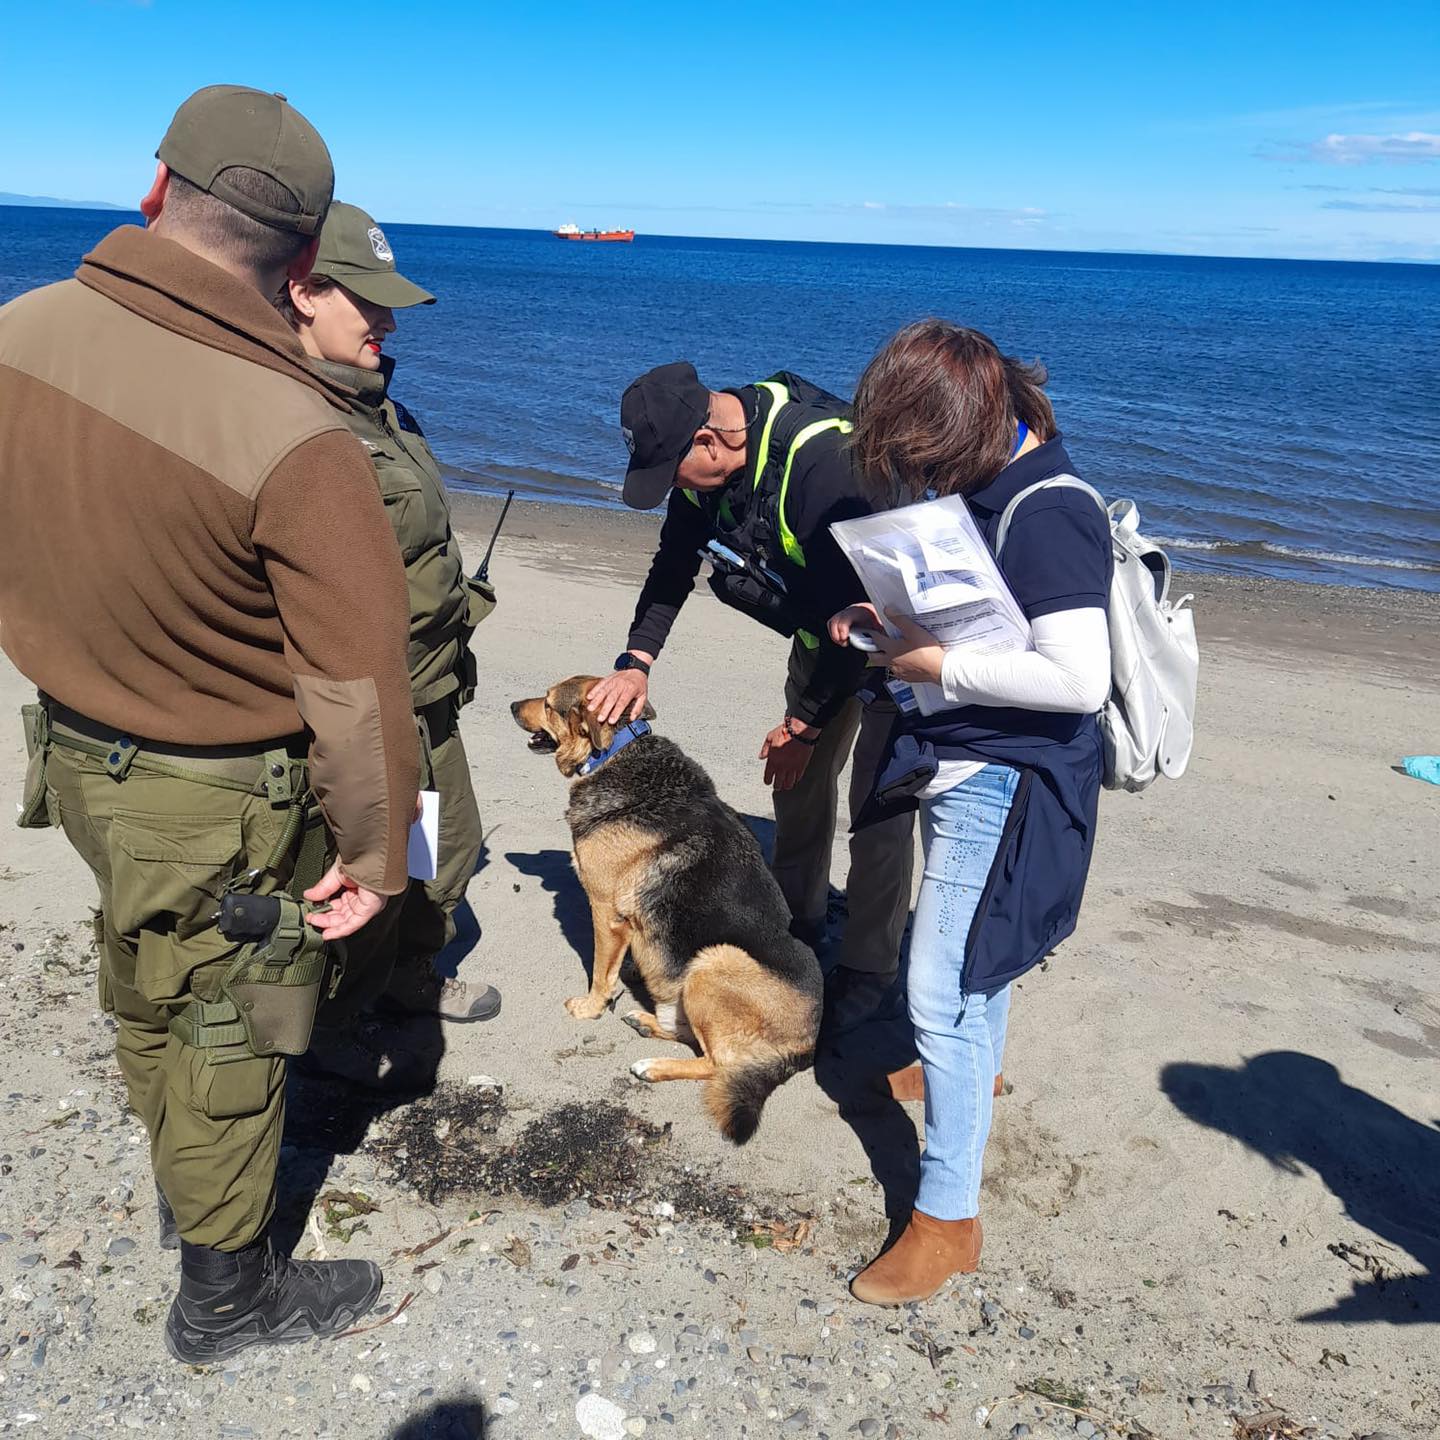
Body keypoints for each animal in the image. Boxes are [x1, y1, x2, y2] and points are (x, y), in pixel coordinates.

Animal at [512, 676, 817, 1146]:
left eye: (547, 703)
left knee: (717, 1063)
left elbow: (600, 971)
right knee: (687, 1032)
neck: (615, 752)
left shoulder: (605, 911)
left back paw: (652, 1066)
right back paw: (645, 1021)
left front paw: (591, 1006)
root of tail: (808, 1042)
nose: (511, 706)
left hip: (714, 962)